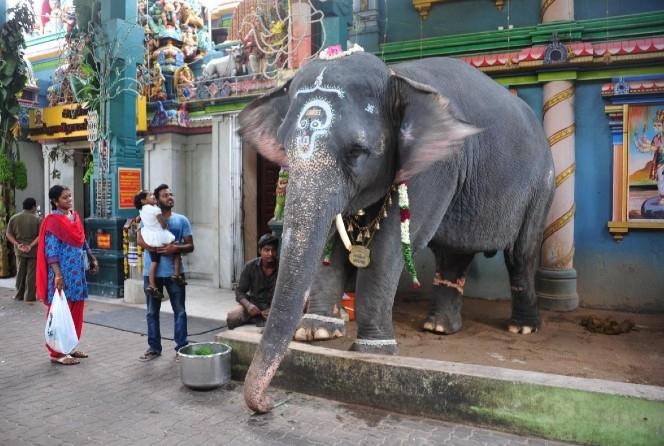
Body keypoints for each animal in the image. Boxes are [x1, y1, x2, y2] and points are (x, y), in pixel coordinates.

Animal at [239, 51, 556, 412]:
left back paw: (522, 328)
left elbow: (388, 249)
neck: (396, 76)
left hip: (542, 185)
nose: (268, 403)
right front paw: (316, 333)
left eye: (357, 151)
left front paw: (374, 349)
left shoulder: (434, 167)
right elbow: (331, 244)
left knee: (521, 253)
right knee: (454, 256)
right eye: (284, 146)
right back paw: (438, 327)